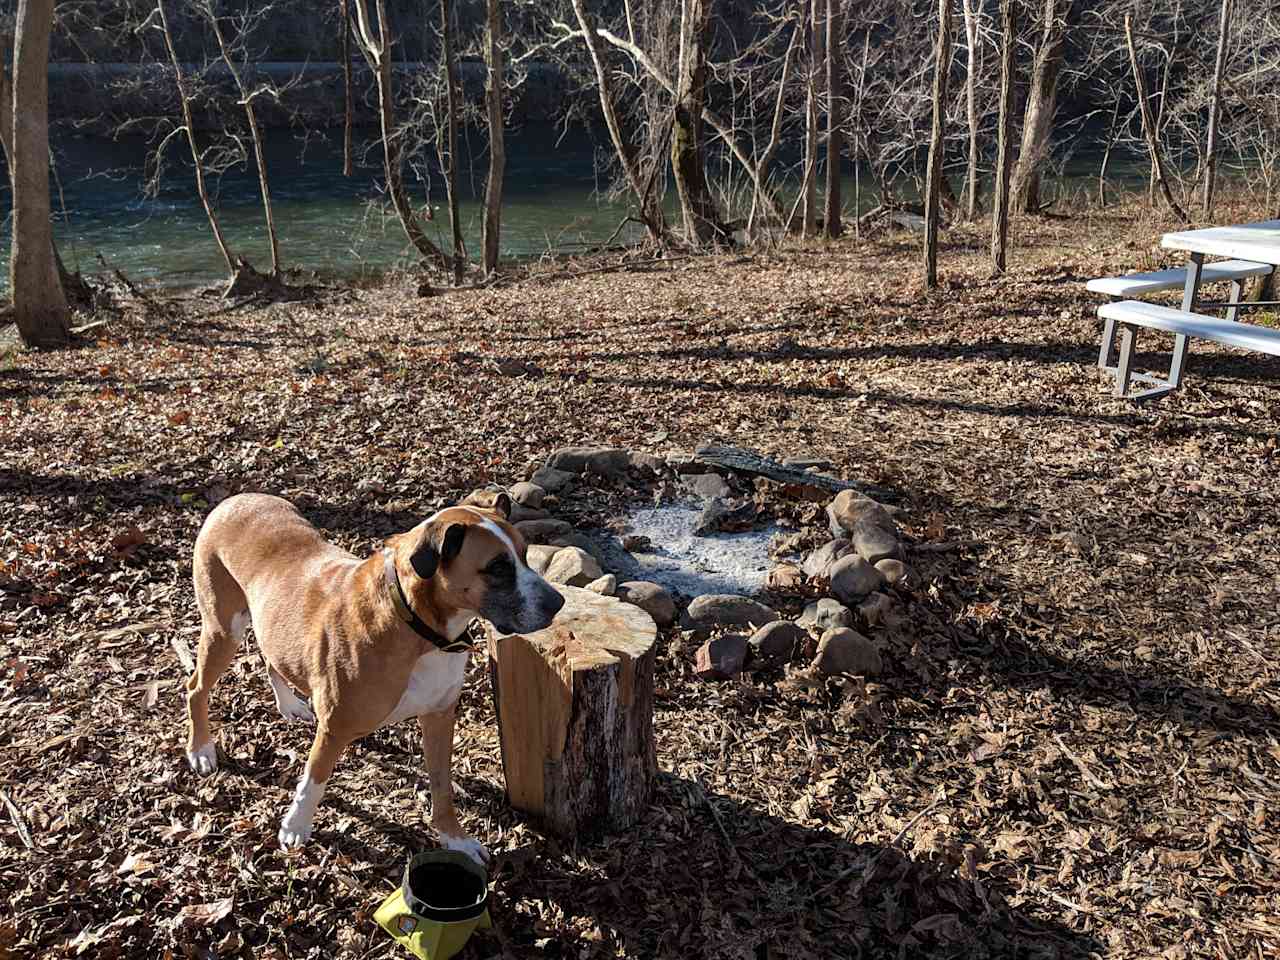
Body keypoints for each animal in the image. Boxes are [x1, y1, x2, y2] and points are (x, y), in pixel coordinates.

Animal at [183, 491, 563, 860]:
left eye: (526, 555)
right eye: (497, 567)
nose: (558, 603)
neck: (417, 625)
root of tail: (232, 500)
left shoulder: (439, 718)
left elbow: (442, 786)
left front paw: (454, 837)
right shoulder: (334, 729)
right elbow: (313, 781)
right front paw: (295, 826)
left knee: (270, 658)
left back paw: (288, 704)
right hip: (223, 630)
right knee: (195, 688)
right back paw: (201, 748)